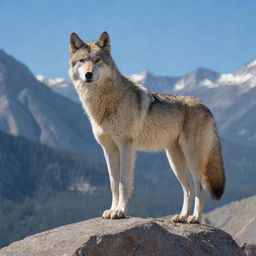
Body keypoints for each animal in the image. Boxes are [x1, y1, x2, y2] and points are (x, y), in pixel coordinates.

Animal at [68, 31, 224, 223]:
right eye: (82, 60)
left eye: (97, 60)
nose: (88, 74)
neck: (104, 103)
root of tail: (205, 106)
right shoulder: (109, 149)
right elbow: (113, 183)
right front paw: (112, 210)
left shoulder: (126, 146)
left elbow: (123, 183)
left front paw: (120, 211)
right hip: (174, 161)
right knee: (187, 189)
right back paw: (181, 216)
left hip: (192, 158)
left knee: (199, 188)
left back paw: (194, 218)